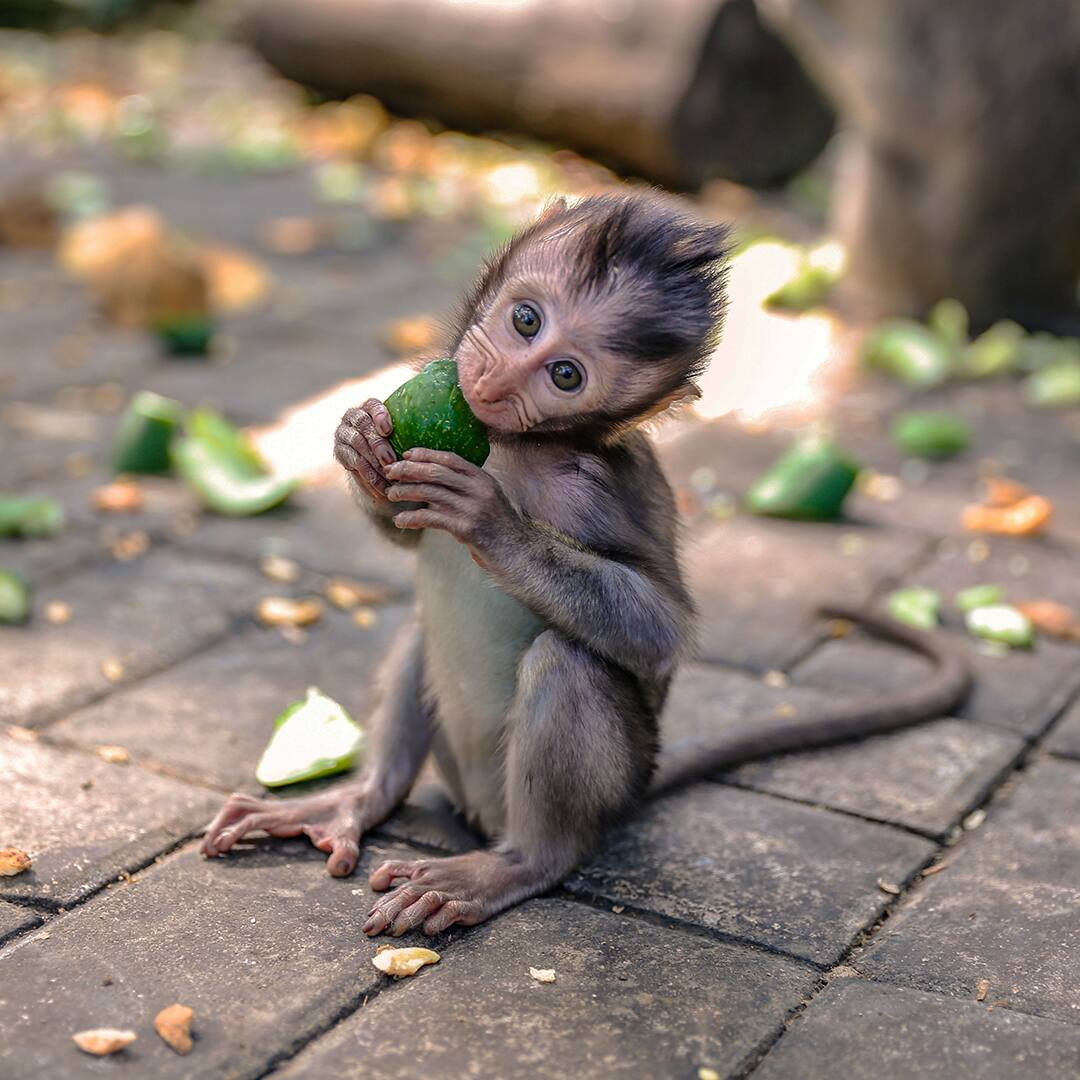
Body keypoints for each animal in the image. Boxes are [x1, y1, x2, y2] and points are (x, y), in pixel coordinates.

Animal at [200, 191, 970, 937]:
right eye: (526, 319)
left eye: (565, 375)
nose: (498, 380)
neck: (516, 448)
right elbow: (406, 528)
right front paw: (359, 443)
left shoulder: (600, 487)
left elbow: (660, 627)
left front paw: (494, 524)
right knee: (424, 631)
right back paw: (360, 798)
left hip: (604, 779)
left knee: (567, 664)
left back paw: (515, 864)